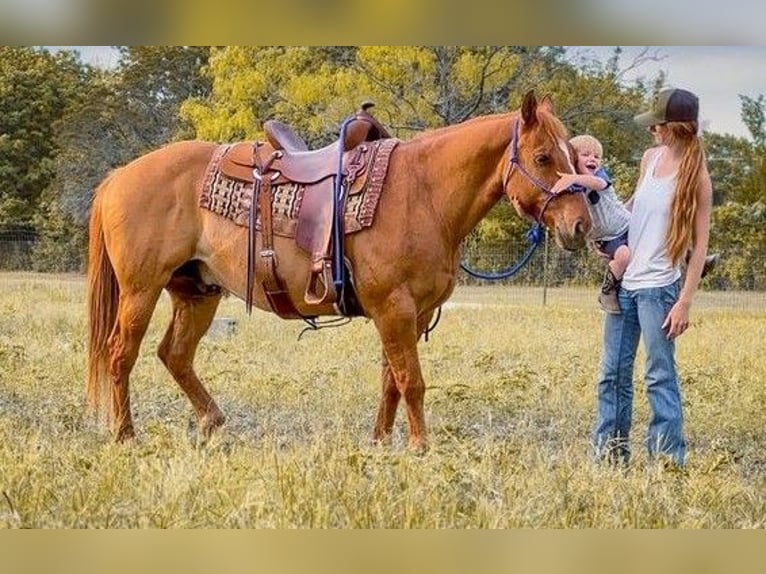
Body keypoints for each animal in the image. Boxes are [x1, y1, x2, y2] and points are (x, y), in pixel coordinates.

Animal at [86, 91, 592, 451]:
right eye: (543, 157)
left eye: (571, 155)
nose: (580, 224)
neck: (424, 192)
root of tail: (118, 177)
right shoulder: (394, 308)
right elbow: (411, 381)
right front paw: (420, 447)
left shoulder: (410, 315)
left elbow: (391, 380)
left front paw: (381, 442)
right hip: (141, 291)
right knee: (120, 354)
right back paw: (126, 434)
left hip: (197, 292)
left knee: (174, 354)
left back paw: (211, 422)